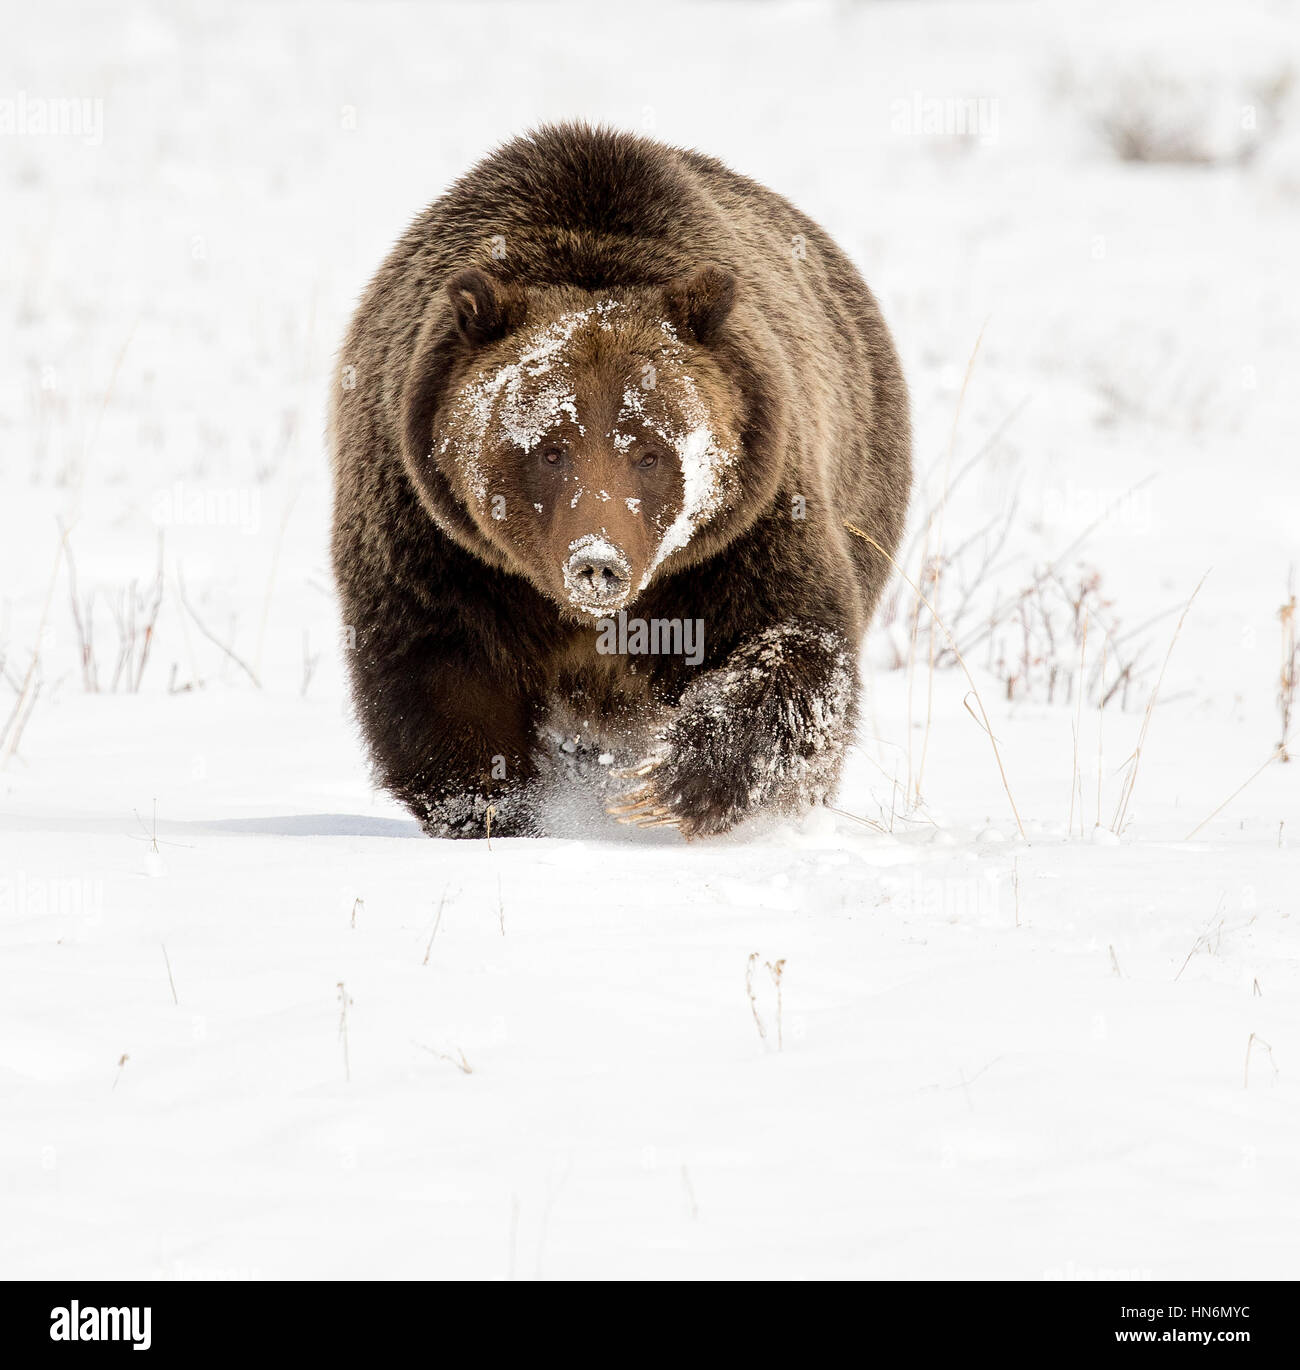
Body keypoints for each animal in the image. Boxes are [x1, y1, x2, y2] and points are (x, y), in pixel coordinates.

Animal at [330, 126, 909, 832]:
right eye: (549, 449)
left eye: (650, 451)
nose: (598, 562)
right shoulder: (436, 538)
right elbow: (440, 668)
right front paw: (495, 808)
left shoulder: (739, 529)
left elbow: (792, 641)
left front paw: (670, 781)